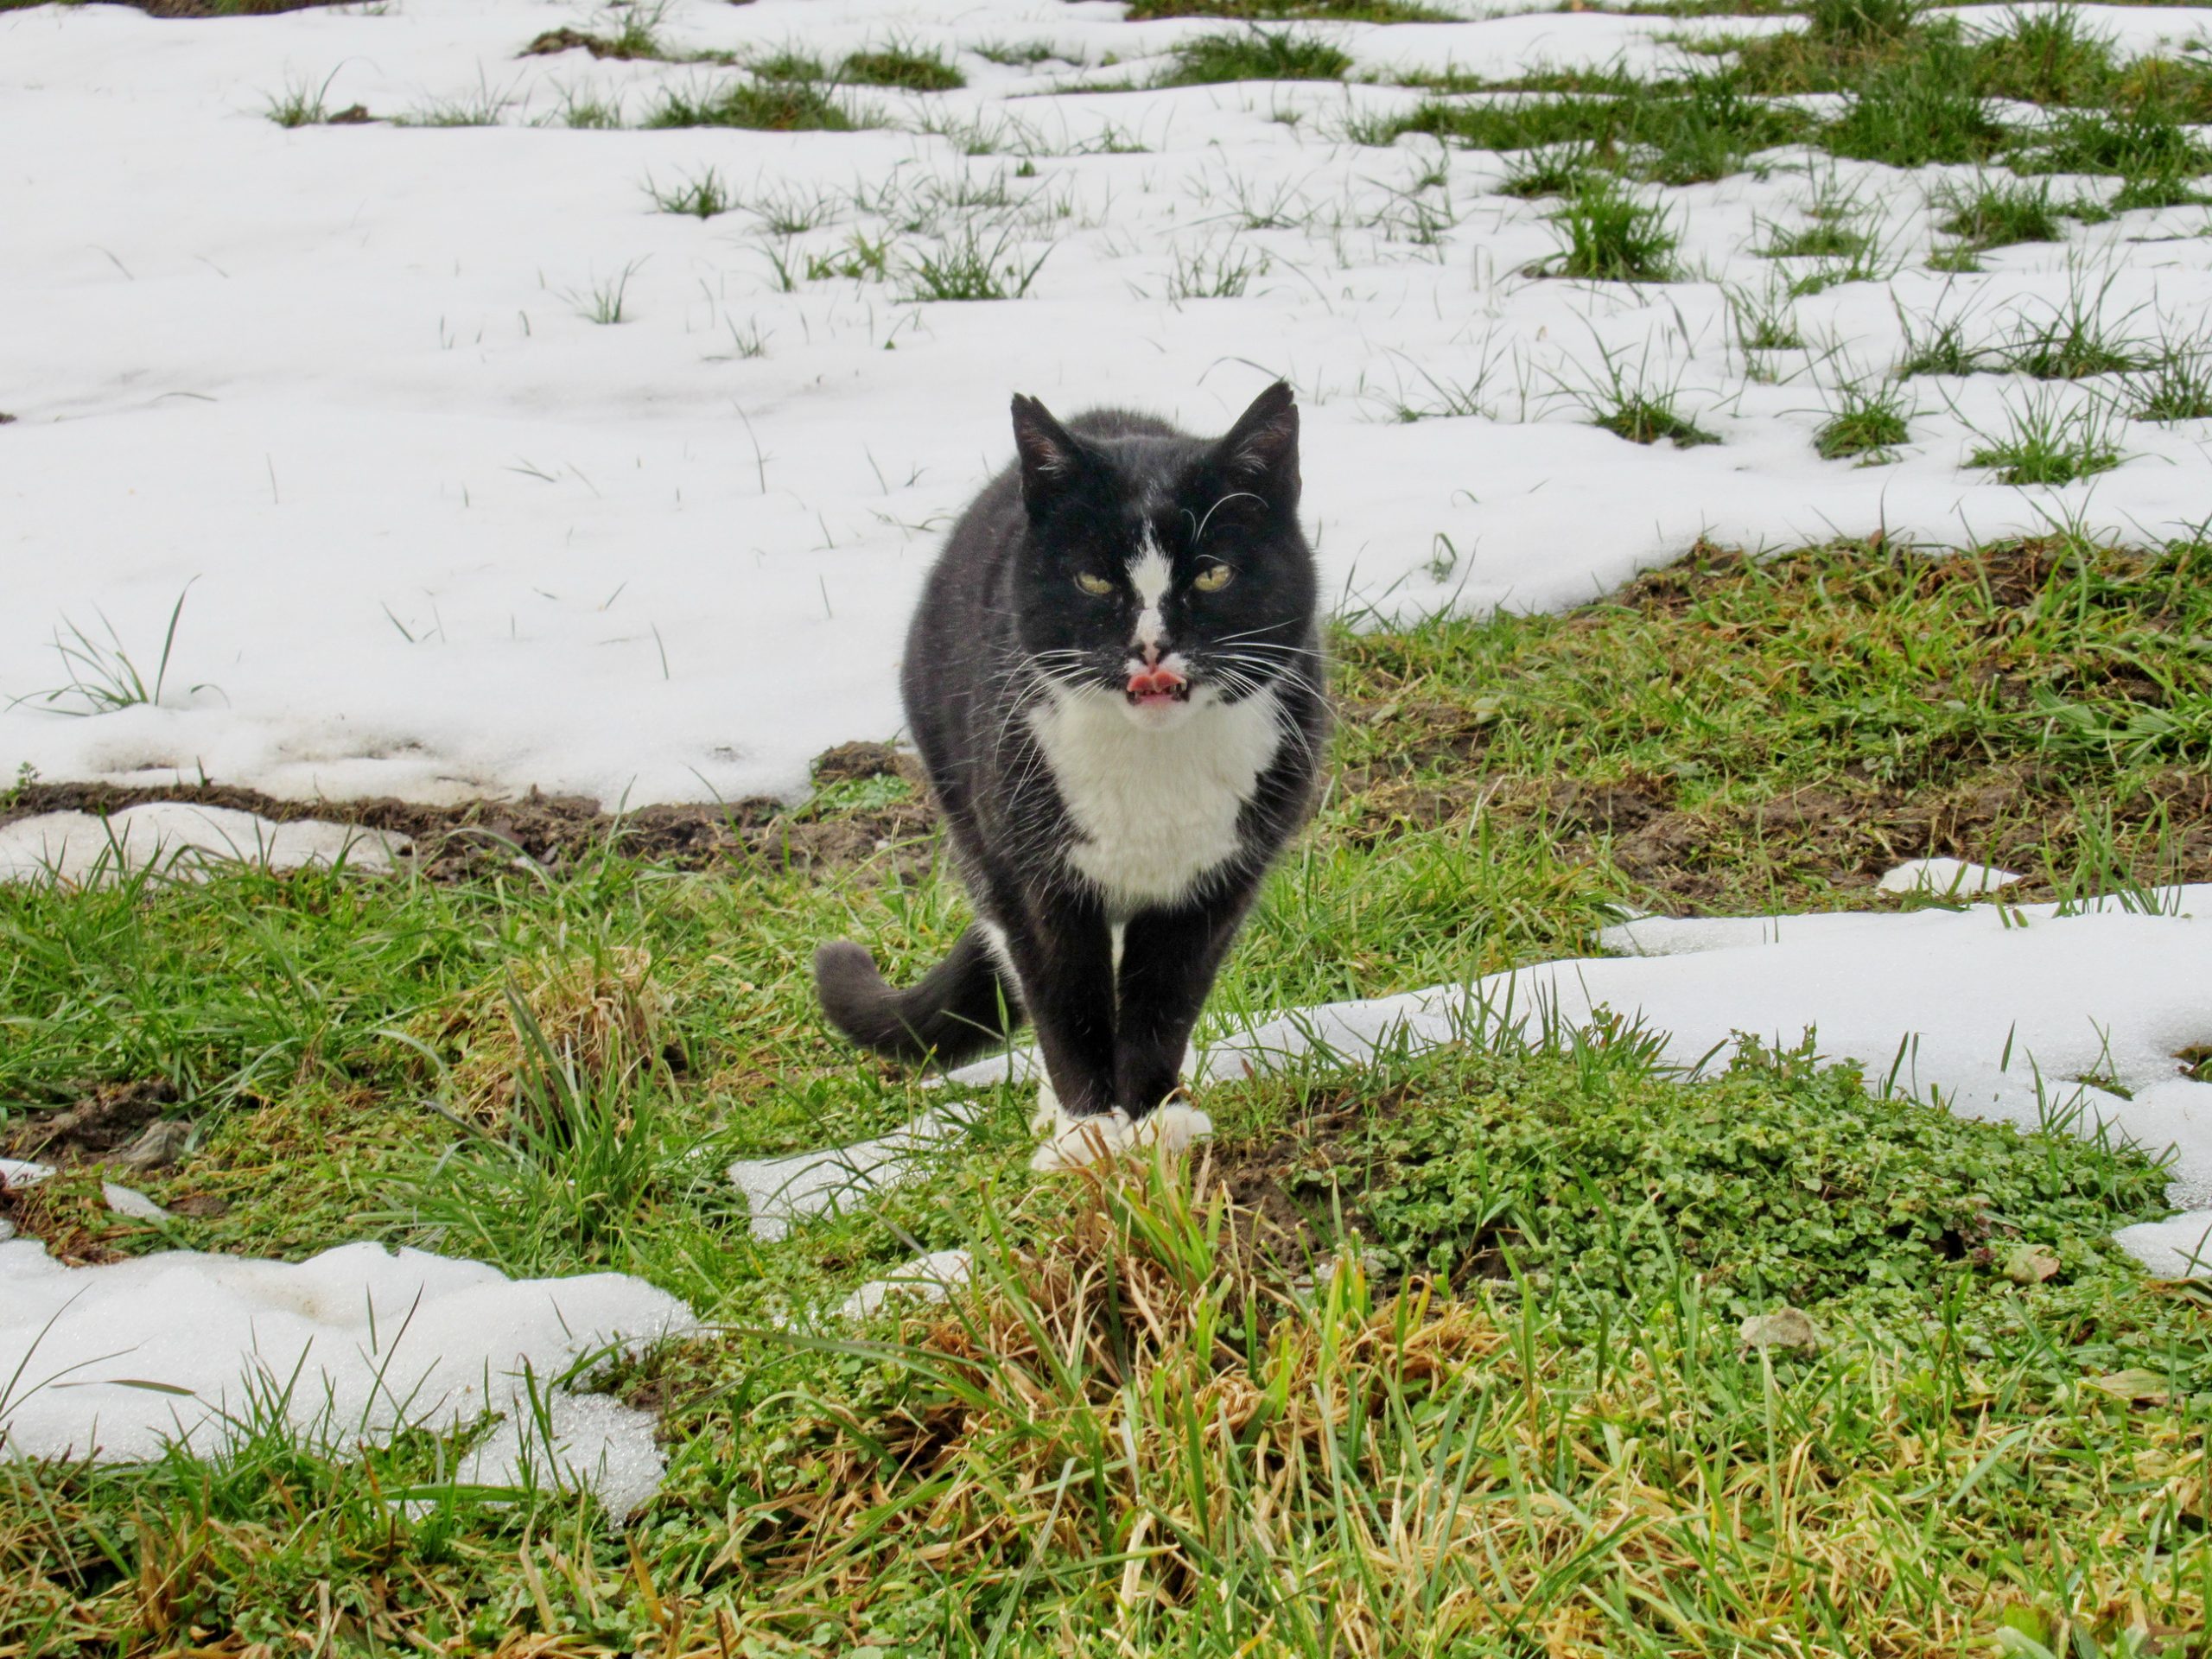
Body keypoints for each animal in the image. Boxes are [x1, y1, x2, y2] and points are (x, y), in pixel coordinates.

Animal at [818, 387, 1318, 1167]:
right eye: (1092, 579)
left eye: (1213, 574)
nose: (1150, 648)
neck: (1155, 770)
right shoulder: (1034, 879)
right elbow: (1064, 1001)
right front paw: (1087, 1131)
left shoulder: (1217, 882)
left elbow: (1164, 1002)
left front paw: (1157, 1115)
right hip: (967, 805)